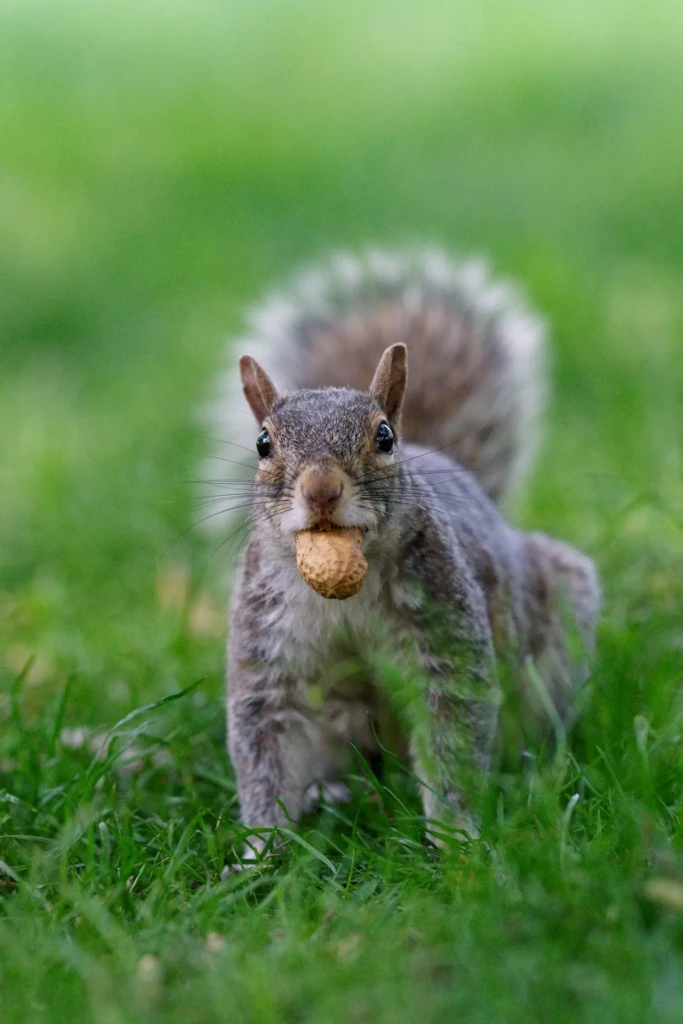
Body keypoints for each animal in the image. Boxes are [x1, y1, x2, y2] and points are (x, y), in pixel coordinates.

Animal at [207, 248, 600, 851]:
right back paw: (330, 792)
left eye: (384, 436)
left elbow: (452, 736)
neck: (346, 591)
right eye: (263, 443)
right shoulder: (266, 641)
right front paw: (262, 850)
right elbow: (263, 746)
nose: (322, 490)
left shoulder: (445, 632)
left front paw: (456, 838)